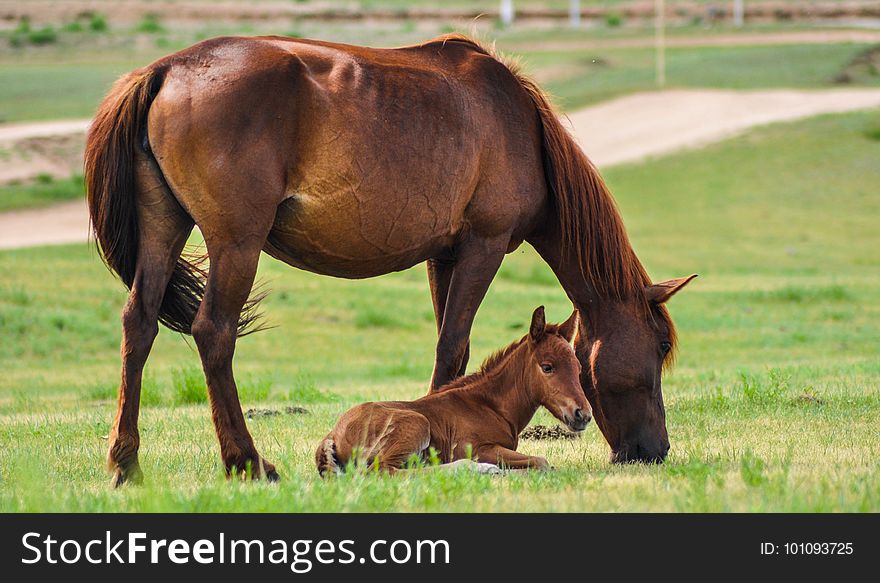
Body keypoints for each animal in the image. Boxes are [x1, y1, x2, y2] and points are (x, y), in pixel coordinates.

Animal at [316, 308, 592, 476]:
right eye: (547, 367)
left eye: (579, 368)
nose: (583, 415)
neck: (490, 406)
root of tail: (332, 435)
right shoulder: (479, 448)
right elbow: (542, 462)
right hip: (416, 424)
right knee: (386, 471)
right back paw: (476, 469)